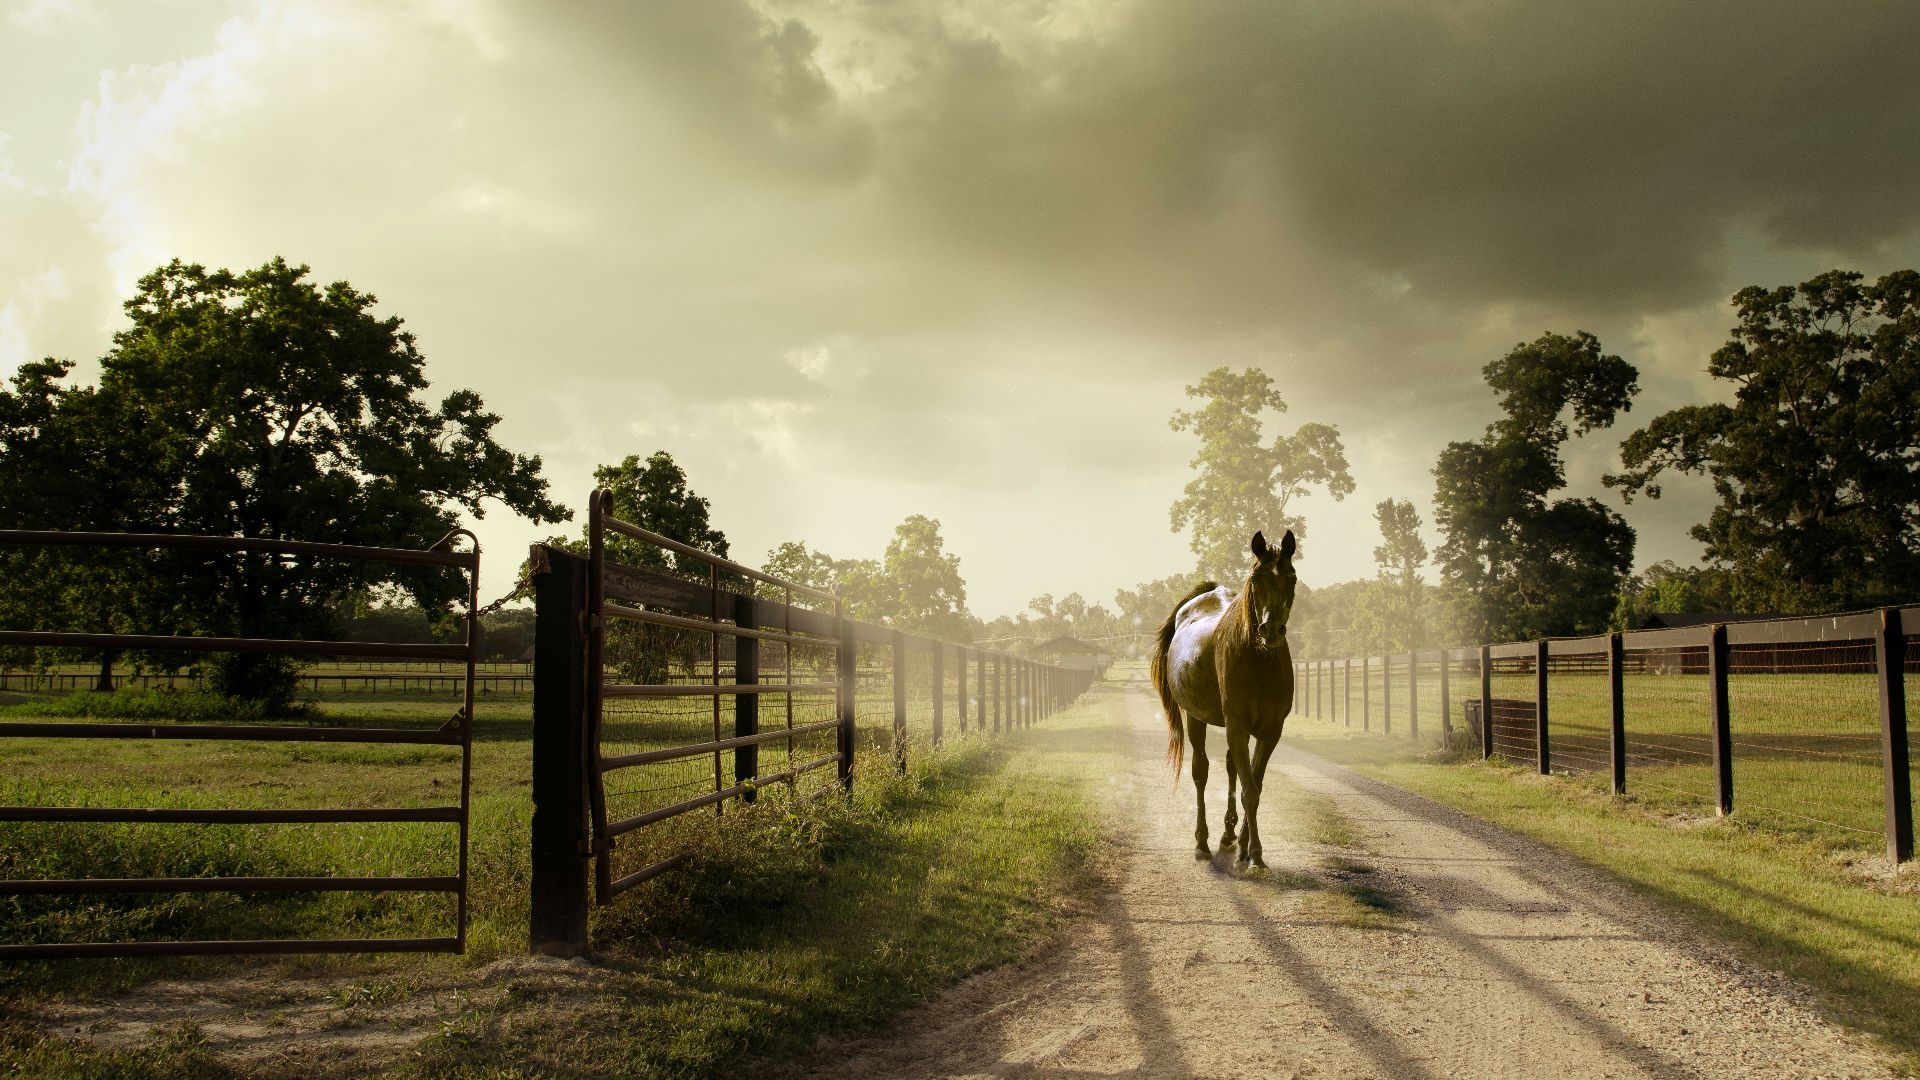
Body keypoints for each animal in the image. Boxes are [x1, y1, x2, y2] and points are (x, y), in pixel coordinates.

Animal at [1149, 530, 1297, 866]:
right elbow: (1250, 791)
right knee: (1200, 773)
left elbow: (1254, 783)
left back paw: (1228, 837)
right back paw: (1202, 843)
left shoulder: (1271, 731)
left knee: (1231, 769)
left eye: (1292, 578)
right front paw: (1255, 855)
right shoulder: (1238, 727)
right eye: (1256, 579)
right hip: (1196, 719)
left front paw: (1244, 846)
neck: (1260, 662)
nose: (1270, 630)